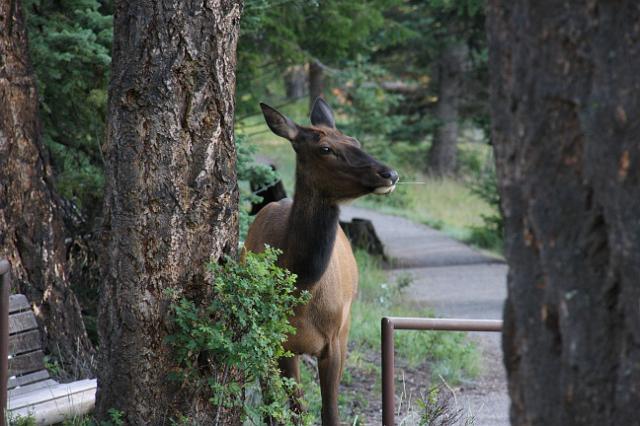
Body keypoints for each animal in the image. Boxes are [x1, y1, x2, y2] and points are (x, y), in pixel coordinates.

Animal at [245, 98, 400, 424]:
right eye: (325, 148)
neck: (301, 286)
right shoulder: (275, 342)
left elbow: (329, 413)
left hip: (346, 327)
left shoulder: (334, 342)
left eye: (355, 140)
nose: (389, 173)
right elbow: (285, 410)